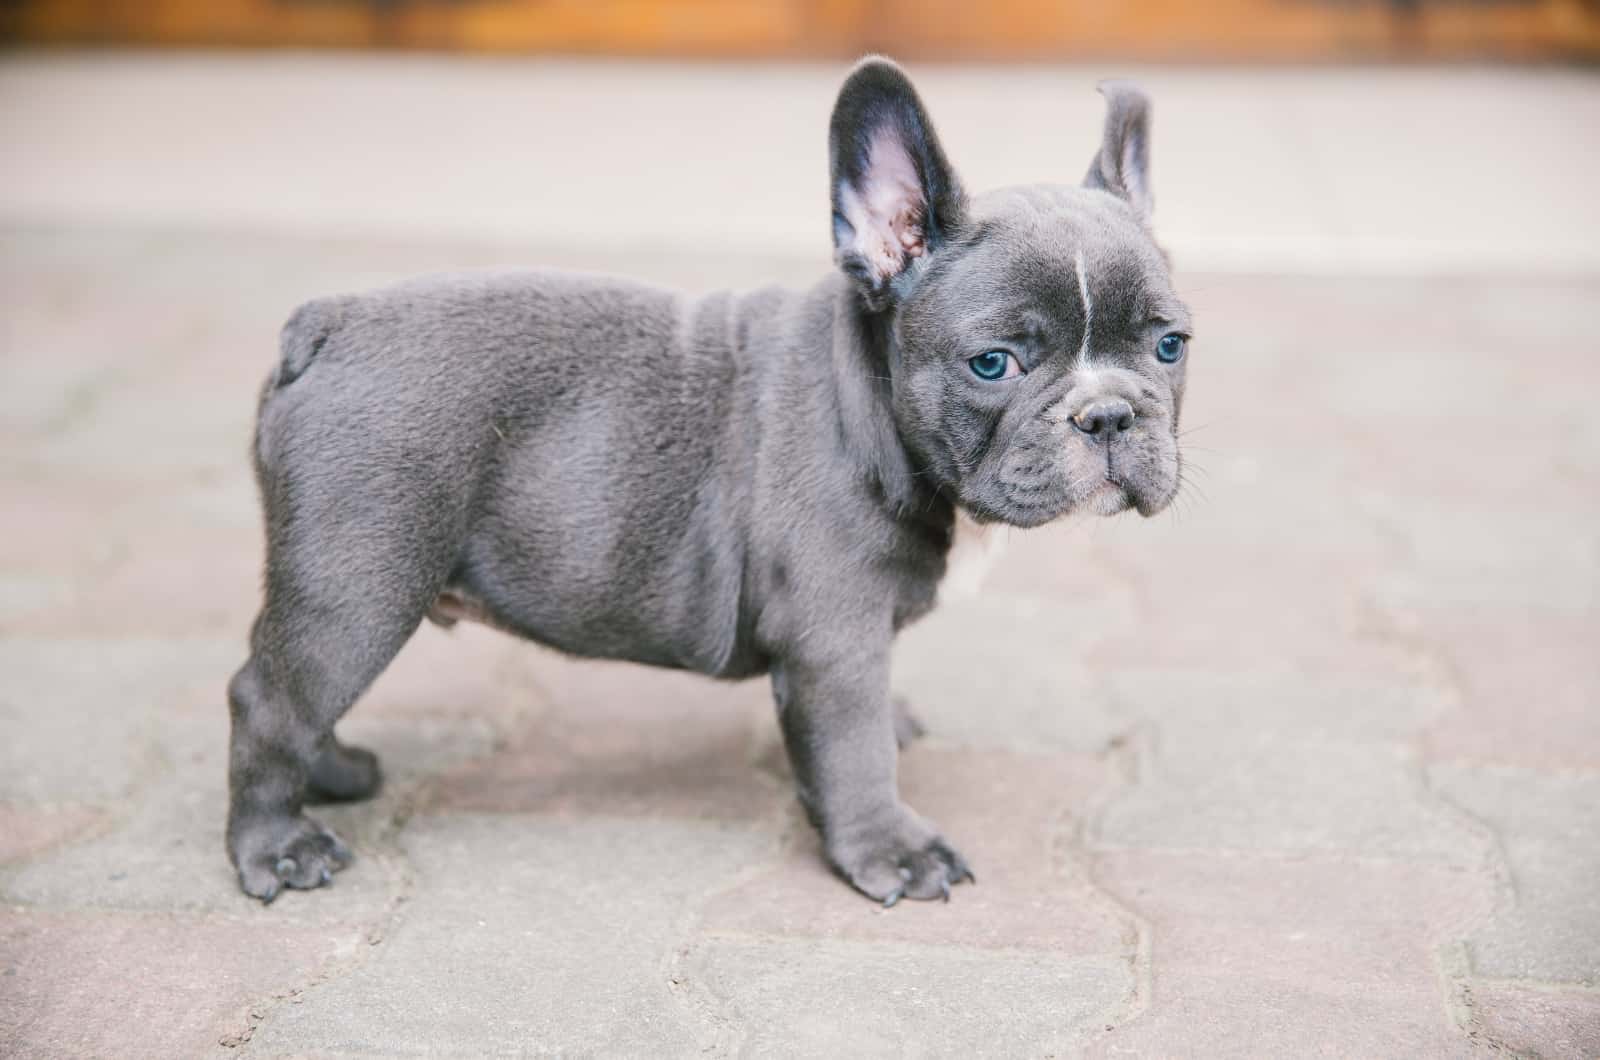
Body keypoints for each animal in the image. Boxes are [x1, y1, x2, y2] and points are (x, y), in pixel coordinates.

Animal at [232, 56, 1196, 903]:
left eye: (1169, 345)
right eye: (993, 363)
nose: (1109, 413)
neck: (869, 406)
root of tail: (329, 323)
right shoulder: (835, 639)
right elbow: (853, 753)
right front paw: (890, 849)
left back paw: (334, 774)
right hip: (361, 586)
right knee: (269, 698)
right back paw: (277, 847)